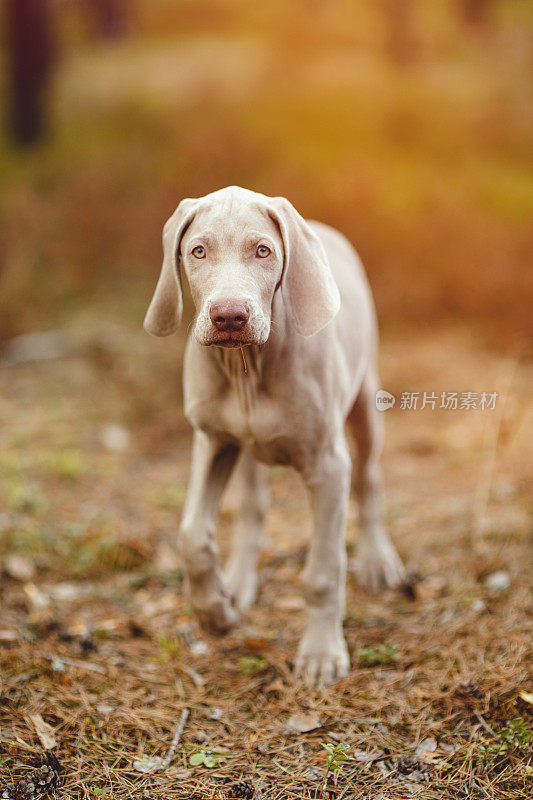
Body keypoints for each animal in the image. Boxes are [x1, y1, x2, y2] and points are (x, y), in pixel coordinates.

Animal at [143, 184, 406, 684]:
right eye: (198, 251)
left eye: (263, 251)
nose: (229, 317)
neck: (248, 366)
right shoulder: (212, 441)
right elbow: (191, 536)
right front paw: (214, 611)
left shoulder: (328, 466)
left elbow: (323, 571)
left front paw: (321, 653)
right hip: (243, 450)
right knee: (253, 508)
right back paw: (237, 582)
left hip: (366, 402)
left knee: (370, 478)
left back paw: (378, 560)